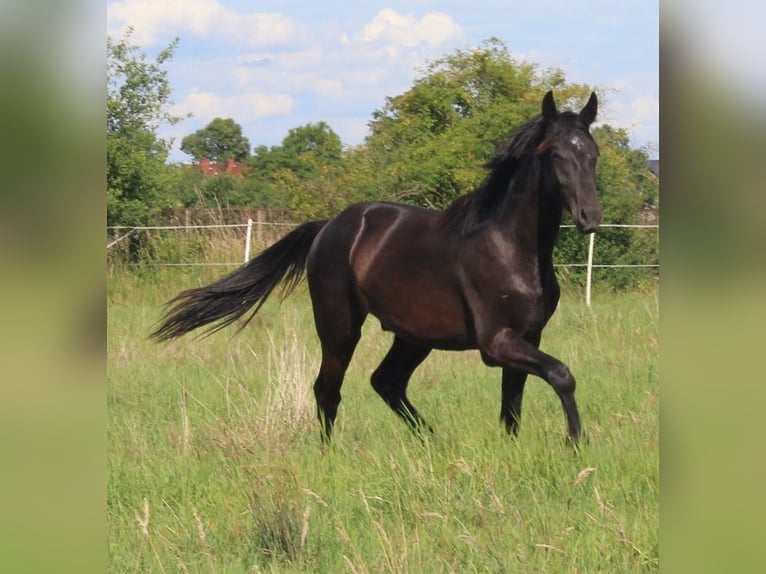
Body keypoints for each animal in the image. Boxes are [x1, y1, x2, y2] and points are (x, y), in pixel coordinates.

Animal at [153, 92, 604, 446]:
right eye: (556, 154)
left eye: (593, 154)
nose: (591, 216)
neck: (511, 247)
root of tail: (329, 227)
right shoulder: (497, 341)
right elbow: (561, 374)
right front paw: (575, 442)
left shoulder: (527, 335)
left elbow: (512, 405)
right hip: (340, 327)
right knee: (328, 389)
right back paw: (330, 454)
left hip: (414, 336)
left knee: (386, 381)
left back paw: (431, 441)